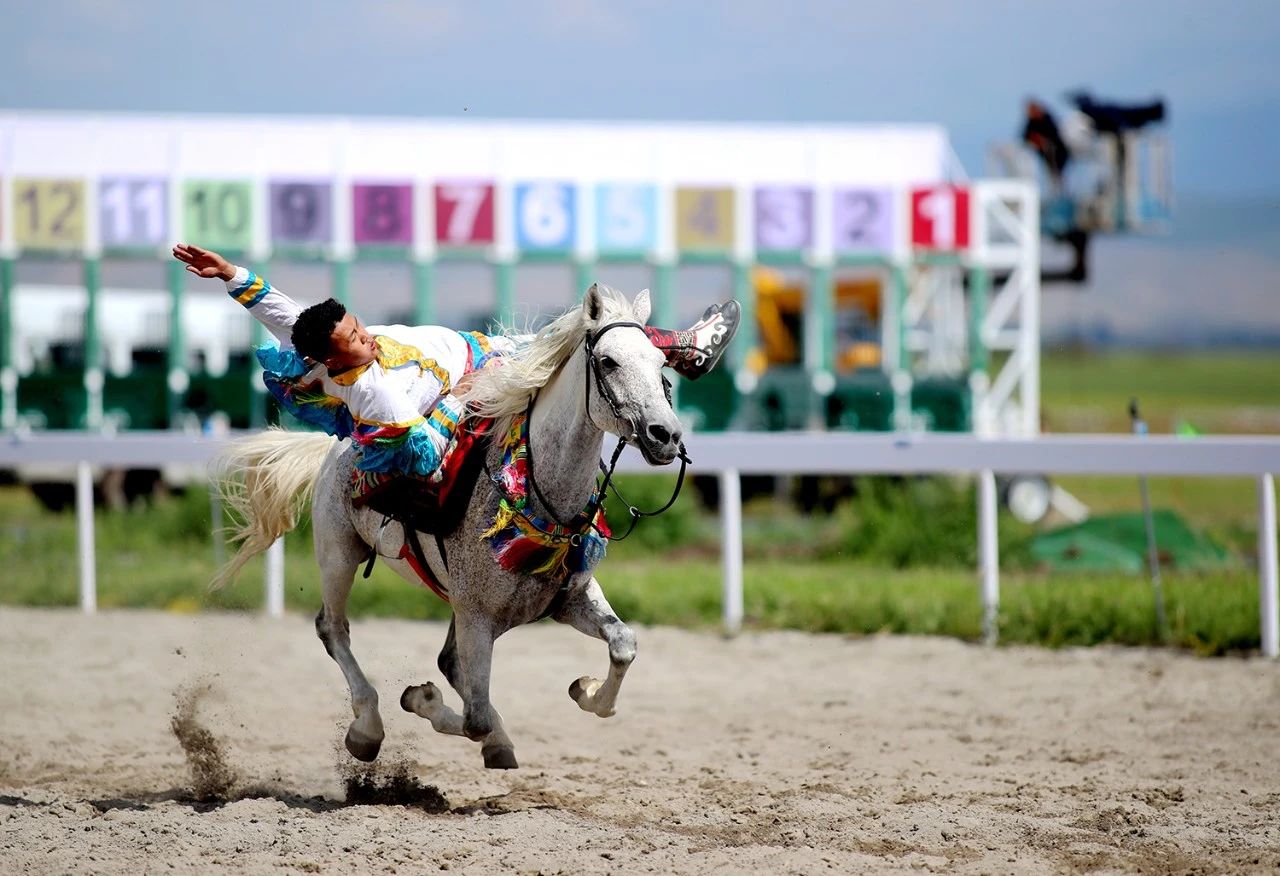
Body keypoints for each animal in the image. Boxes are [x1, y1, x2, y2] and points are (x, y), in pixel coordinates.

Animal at [215, 285, 686, 768]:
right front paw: (421, 700)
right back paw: (368, 728)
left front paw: (587, 691)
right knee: (334, 630)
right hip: (338, 554)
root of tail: (336, 448)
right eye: (608, 361)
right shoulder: (476, 616)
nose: (666, 434)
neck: (538, 493)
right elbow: (473, 717)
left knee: (449, 664)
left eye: (660, 362)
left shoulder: (569, 598)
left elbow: (623, 643)